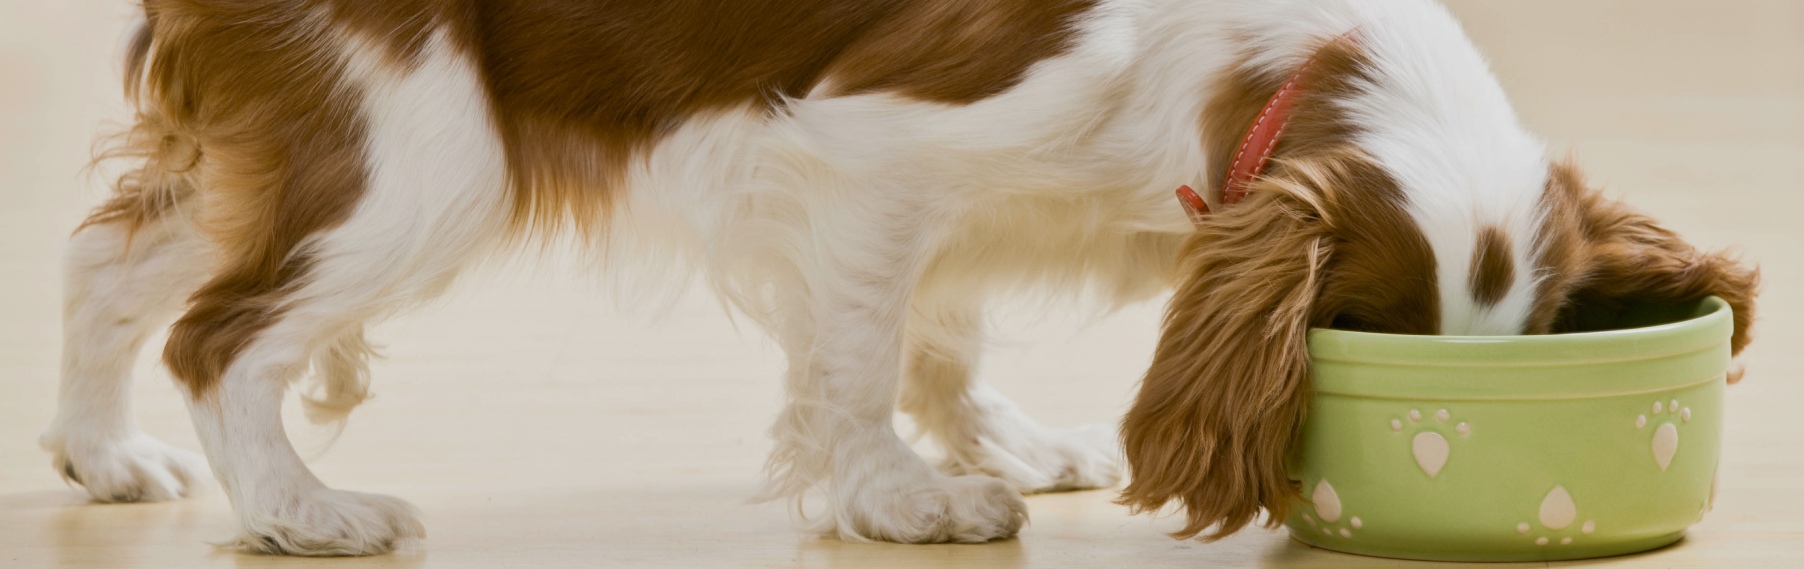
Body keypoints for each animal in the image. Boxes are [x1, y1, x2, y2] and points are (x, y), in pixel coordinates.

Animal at [42, 0, 1753, 556]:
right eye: (1355, 333)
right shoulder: (873, 155)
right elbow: (863, 352)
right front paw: (904, 497)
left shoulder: (950, 208)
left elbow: (940, 332)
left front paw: (1001, 442)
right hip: (419, 160)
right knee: (223, 333)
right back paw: (300, 508)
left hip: (300, 145)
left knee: (117, 262)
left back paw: (100, 454)